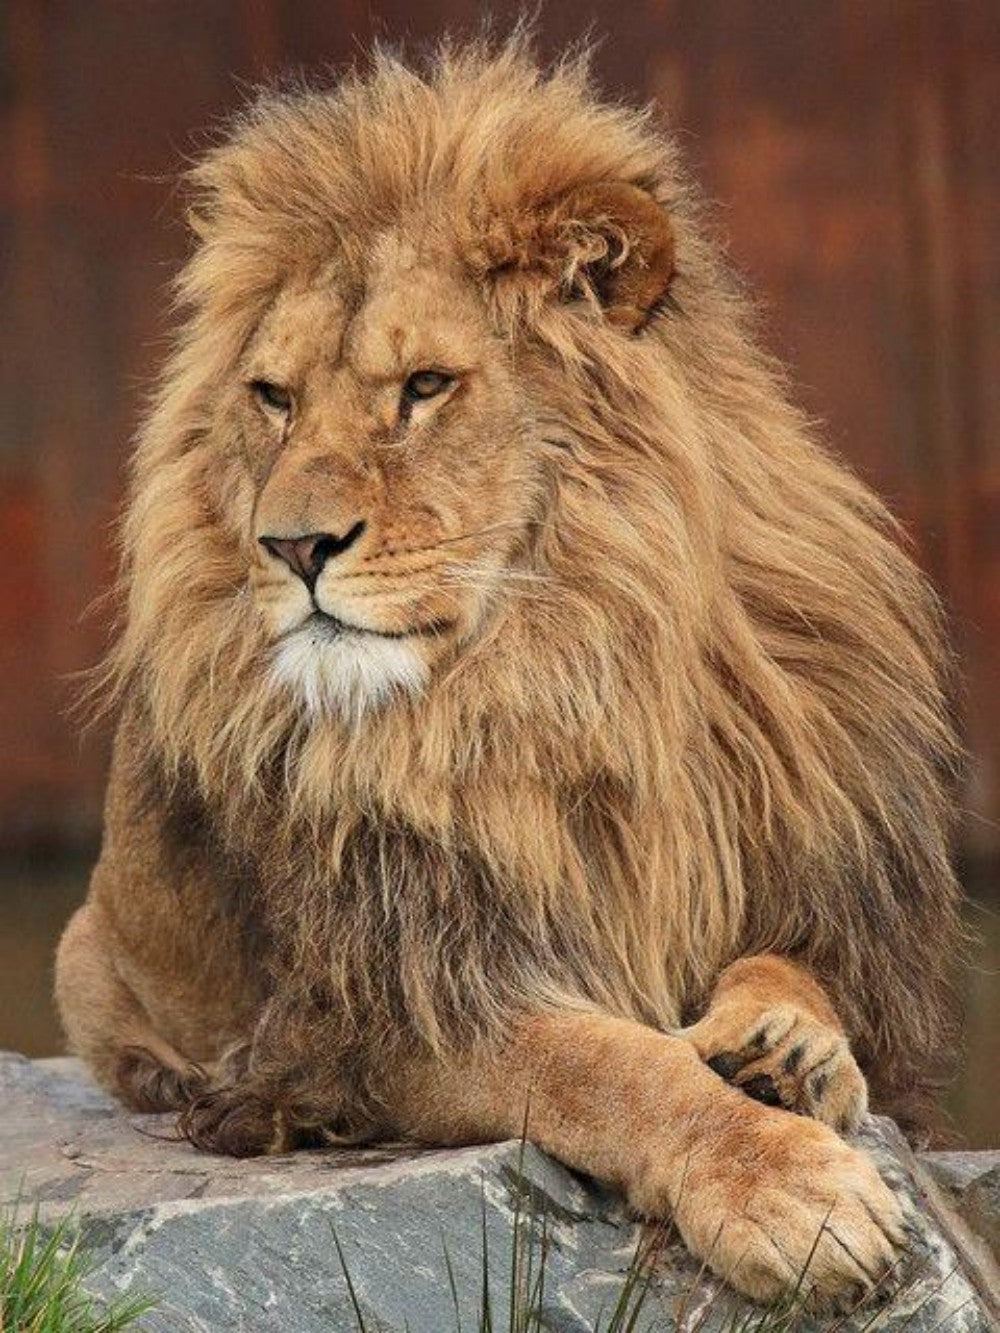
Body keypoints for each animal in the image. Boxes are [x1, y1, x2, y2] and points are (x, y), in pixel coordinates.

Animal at [56, 38, 962, 1310]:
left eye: (426, 385)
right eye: (273, 397)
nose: (290, 546)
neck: (566, 665)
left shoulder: (810, 877)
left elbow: (787, 969)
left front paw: (783, 1050)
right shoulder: (403, 1001)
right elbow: (615, 1066)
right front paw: (793, 1193)